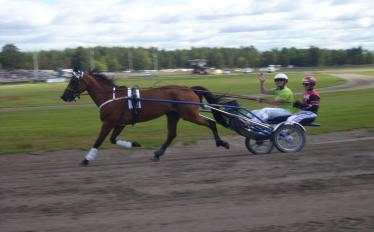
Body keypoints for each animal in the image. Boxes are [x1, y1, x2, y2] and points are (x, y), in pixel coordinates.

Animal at [60, 69, 229, 165]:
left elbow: (99, 141)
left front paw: (86, 159)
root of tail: (190, 89)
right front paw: (134, 144)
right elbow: (112, 140)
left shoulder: (108, 122)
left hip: (190, 114)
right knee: (171, 134)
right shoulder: (119, 124)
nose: (63, 96)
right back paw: (157, 154)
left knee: (211, 123)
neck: (112, 97)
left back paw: (221, 142)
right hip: (173, 115)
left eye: (73, 81)